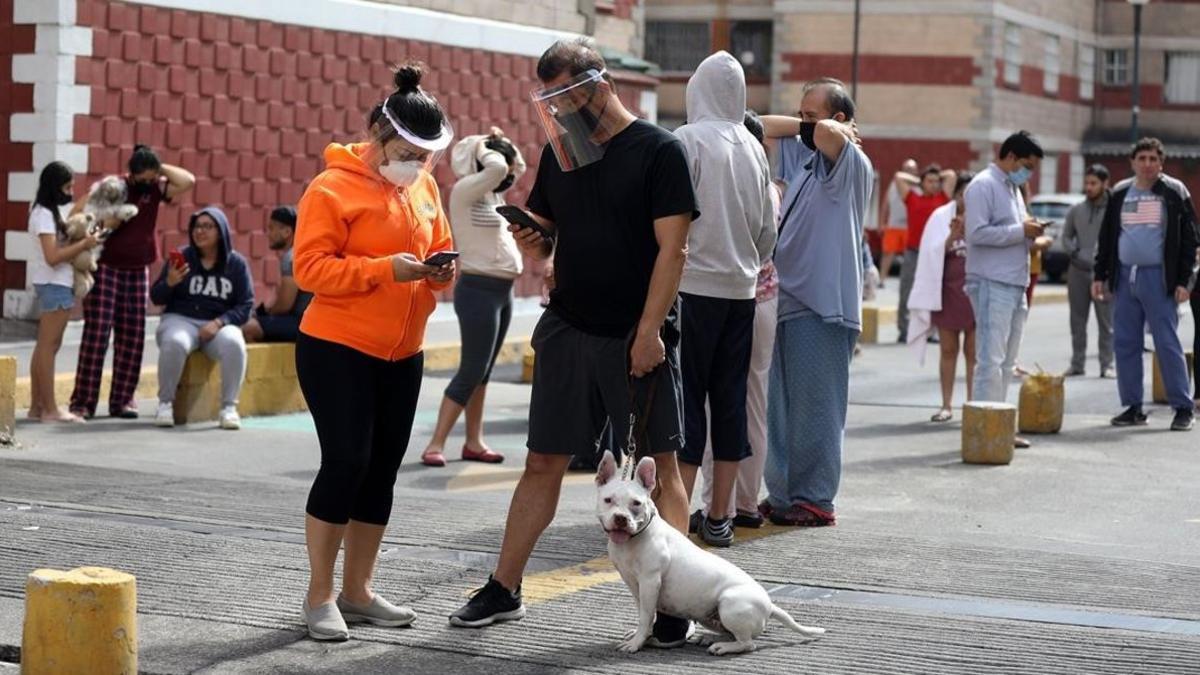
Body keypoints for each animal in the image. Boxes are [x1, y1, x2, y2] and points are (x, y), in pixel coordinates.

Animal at [592, 449, 825, 653]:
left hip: (729, 604)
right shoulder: (636, 586)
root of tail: (769, 605)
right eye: (608, 500)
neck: (633, 540)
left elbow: (646, 616)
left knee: (747, 643)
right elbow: (644, 614)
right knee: (734, 634)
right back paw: (711, 639)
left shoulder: (650, 582)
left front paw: (636, 643)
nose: (621, 518)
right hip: (711, 617)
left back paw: (723, 647)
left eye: (636, 503)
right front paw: (640, 635)